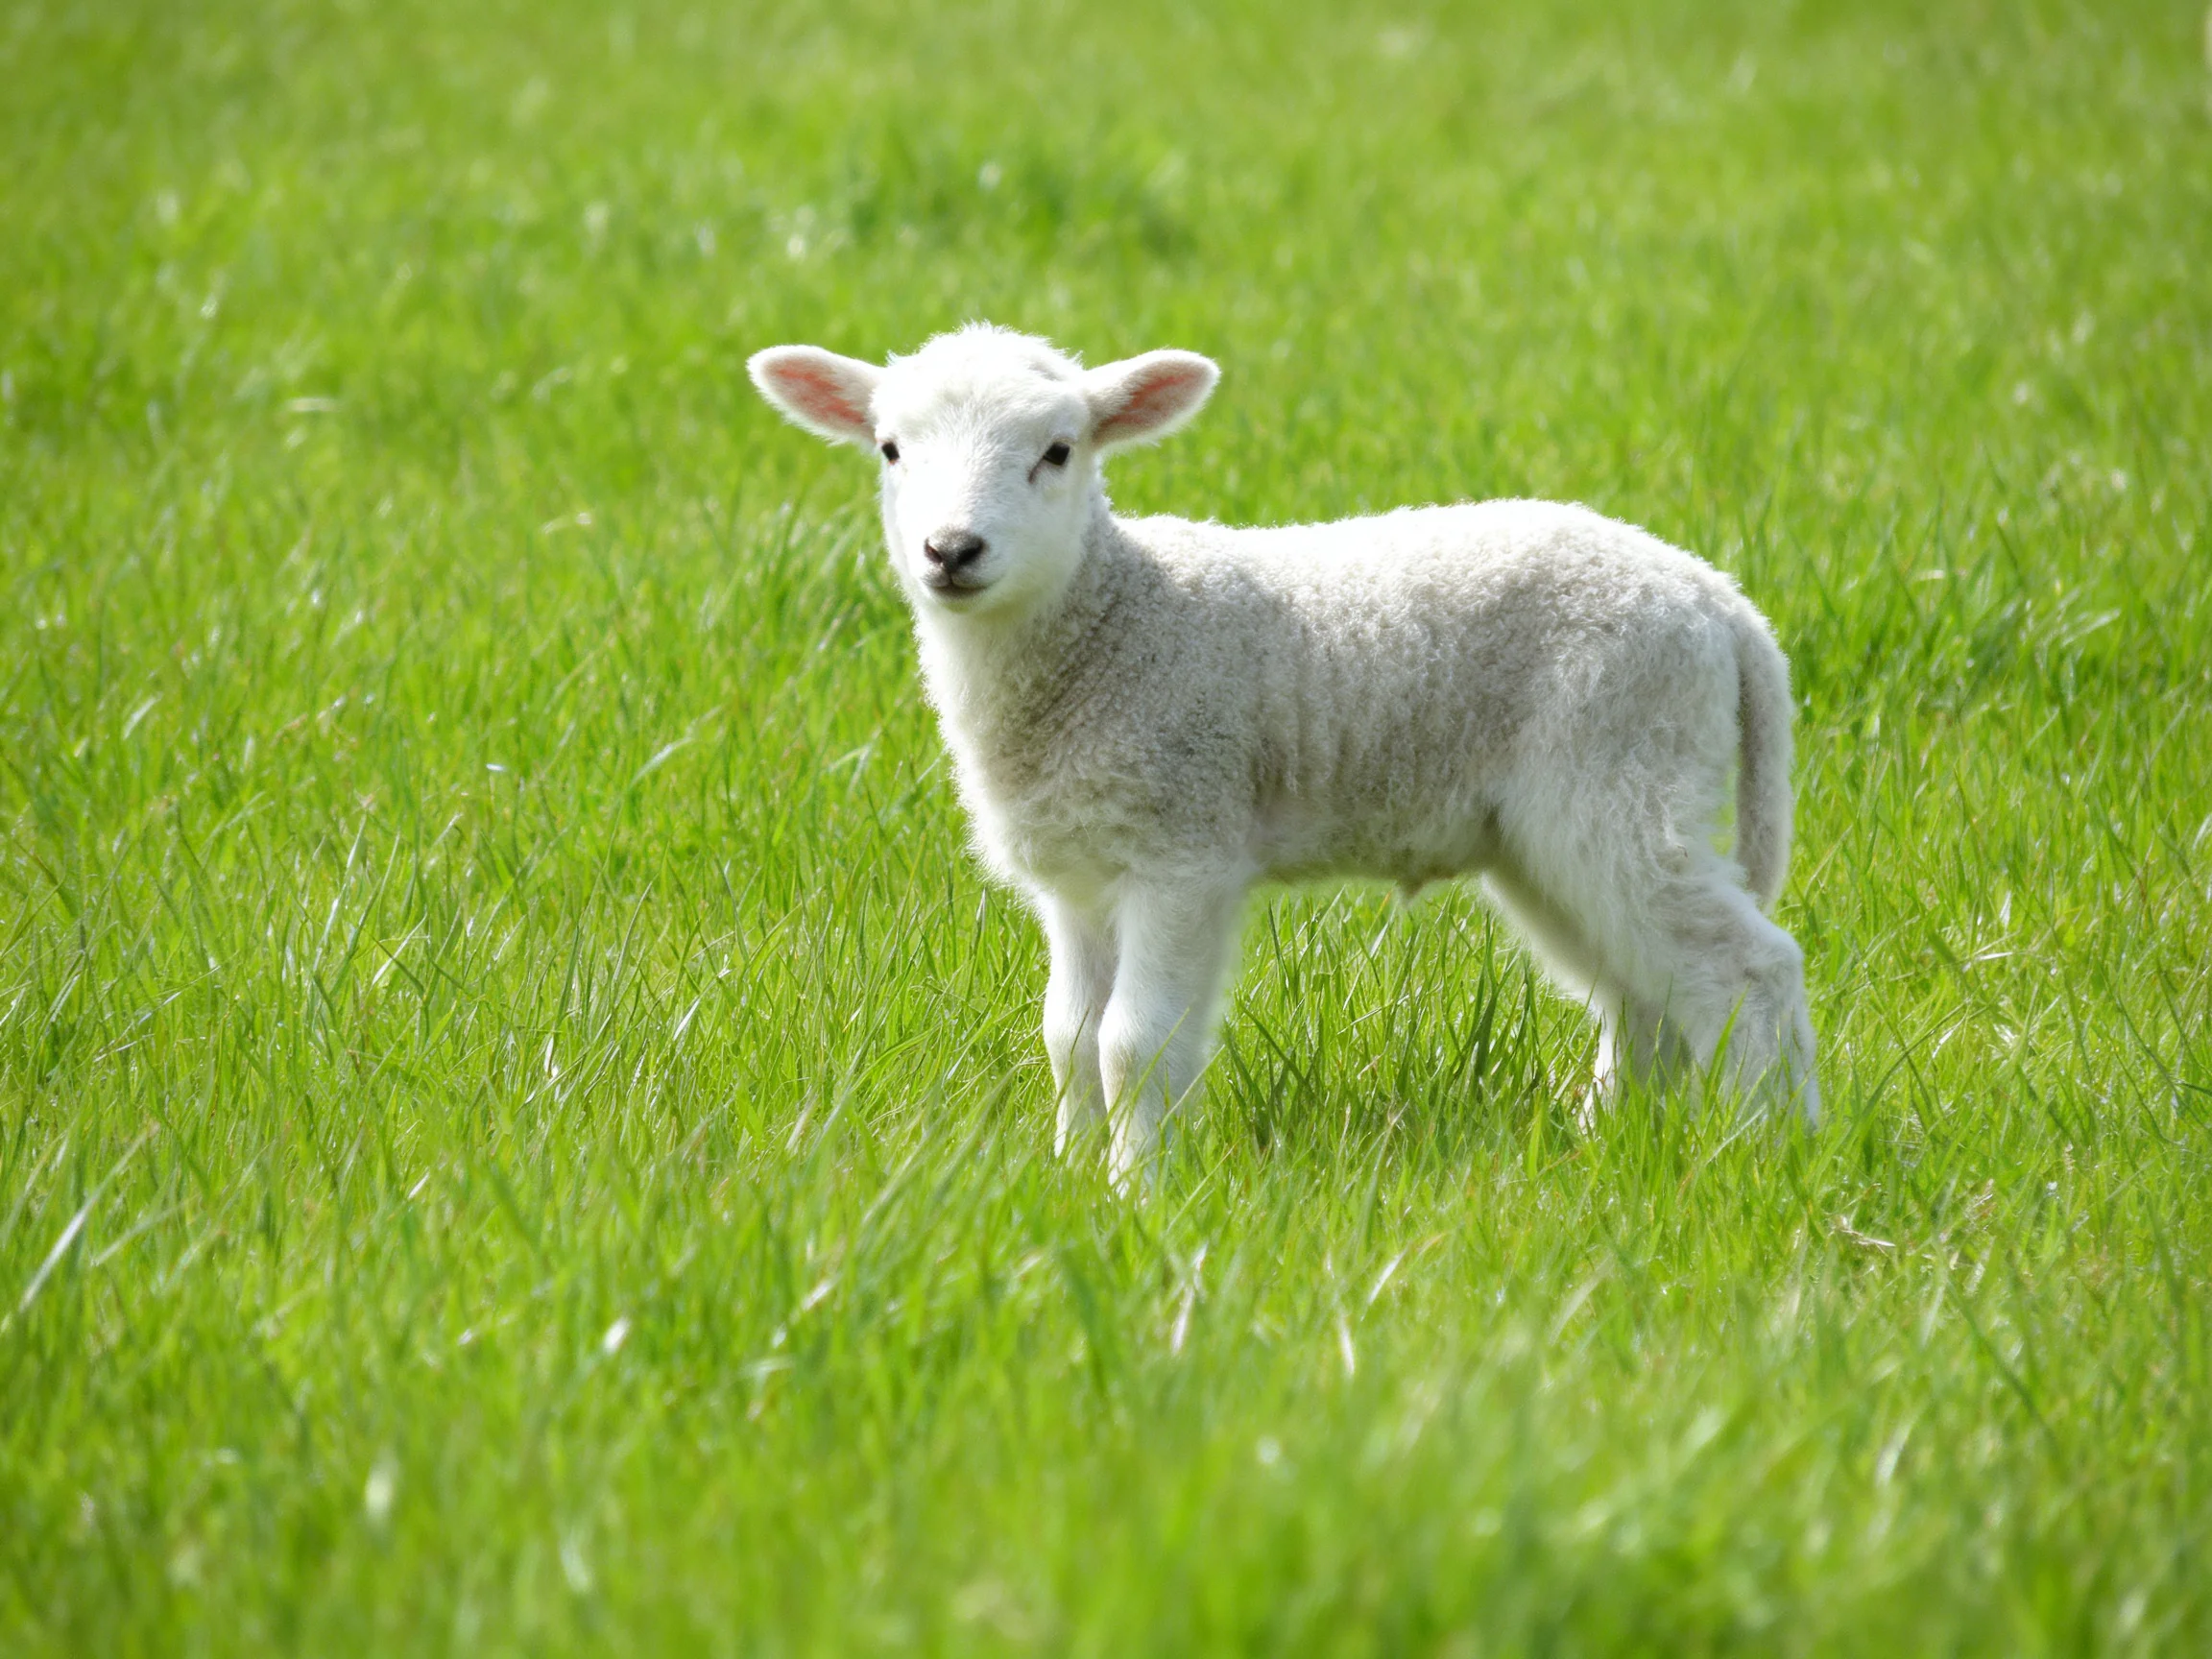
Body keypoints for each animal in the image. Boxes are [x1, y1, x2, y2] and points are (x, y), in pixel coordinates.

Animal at [750, 323, 1819, 1178]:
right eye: (890, 448)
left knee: (1746, 969)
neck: (1113, 624)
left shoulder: (1183, 850)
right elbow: (1067, 1038)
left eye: (1057, 452)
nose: (952, 551)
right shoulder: (1078, 876)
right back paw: (1606, 1144)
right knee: (1642, 997)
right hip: (1549, 831)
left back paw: (1772, 1153)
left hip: (1619, 772)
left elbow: (1134, 1043)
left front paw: (1137, 1196)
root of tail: (1719, 601)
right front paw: (1067, 1180)